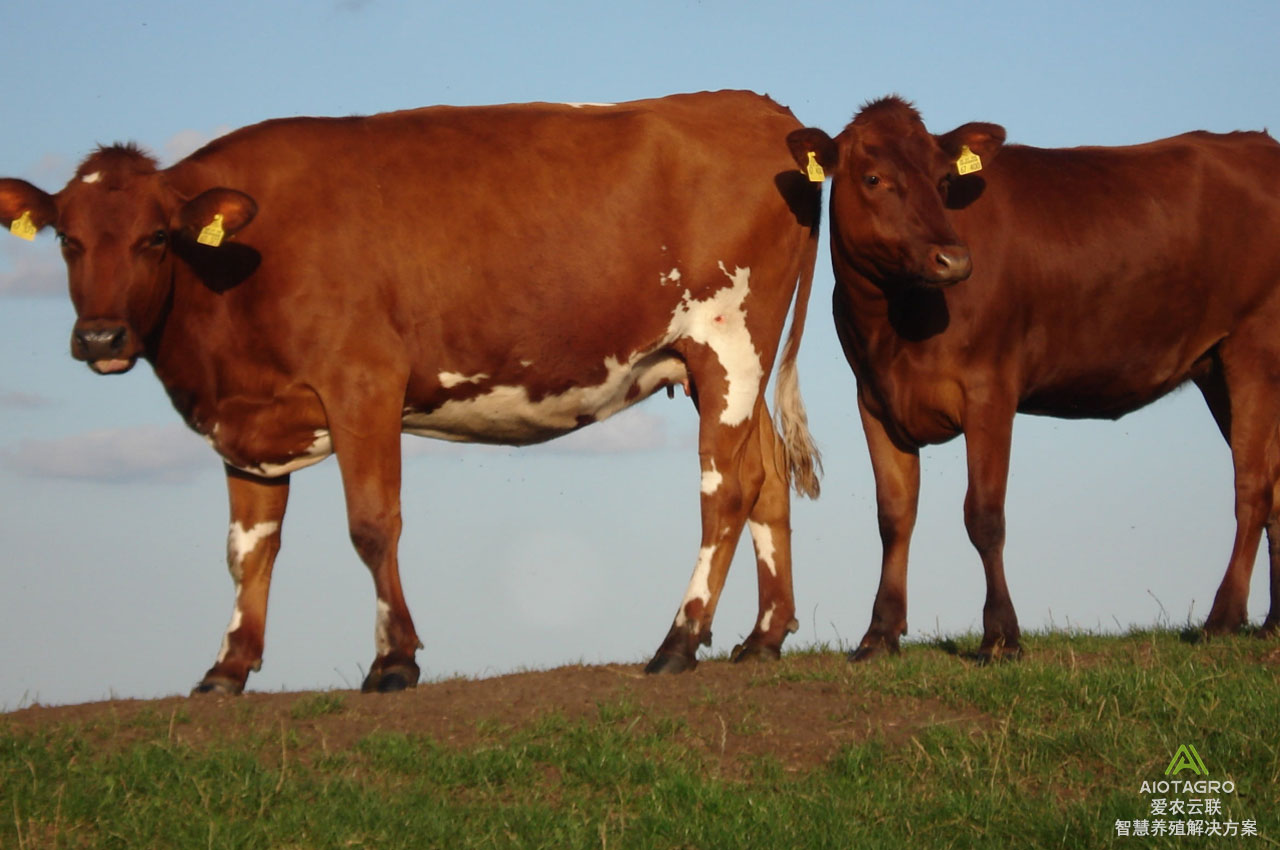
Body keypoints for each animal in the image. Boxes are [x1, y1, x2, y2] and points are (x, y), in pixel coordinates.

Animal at [0, 91, 819, 691]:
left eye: (155, 239)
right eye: (68, 240)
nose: (100, 338)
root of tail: (755, 107)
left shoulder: (362, 383)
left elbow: (371, 524)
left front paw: (394, 660)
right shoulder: (248, 413)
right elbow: (247, 547)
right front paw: (227, 667)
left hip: (728, 340)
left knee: (724, 490)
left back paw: (678, 640)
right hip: (724, 362)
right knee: (768, 475)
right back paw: (762, 637)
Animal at [788, 96, 1280, 660]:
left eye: (943, 181)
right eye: (873, 178)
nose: (953, 259)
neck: (895, 325)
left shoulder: (989, 389)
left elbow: (984, 516)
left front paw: (1001, 635)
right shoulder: (874, 399)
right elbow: (894, 517)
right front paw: (879, 633)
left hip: (1253, 347)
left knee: (1253, 486)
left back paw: (1223, 618)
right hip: (1220, 369)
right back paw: (1272, 624)